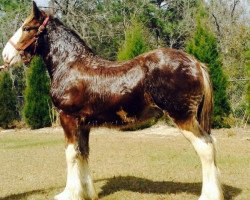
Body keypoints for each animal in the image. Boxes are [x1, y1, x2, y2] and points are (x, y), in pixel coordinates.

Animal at [1, 1, 224, 200]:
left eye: (27, 28)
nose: (5, 55)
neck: (71, 65)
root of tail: (196, 62)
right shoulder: (83, 125)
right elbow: (83, 153)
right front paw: (88, 194)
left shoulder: (68, 119)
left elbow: (70, 154)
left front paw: (69, 194)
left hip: (183, 117)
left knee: (205, 147)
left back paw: (209, 196)